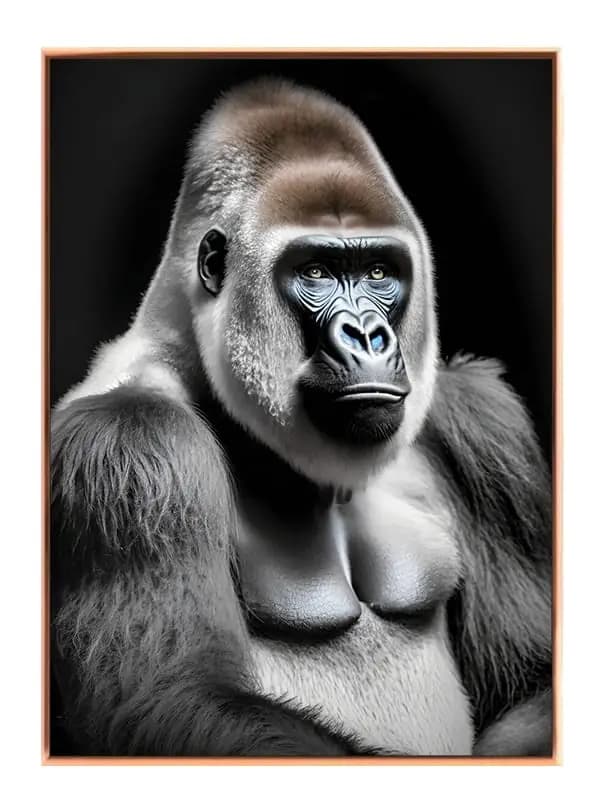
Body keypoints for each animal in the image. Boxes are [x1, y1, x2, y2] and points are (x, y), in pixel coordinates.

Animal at [50, 78, 552, 757]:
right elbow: (170, 699)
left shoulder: (477, 425)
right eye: (315, 270)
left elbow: (532, 679)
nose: (368, 335)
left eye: (378, 271)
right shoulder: (130, 447)